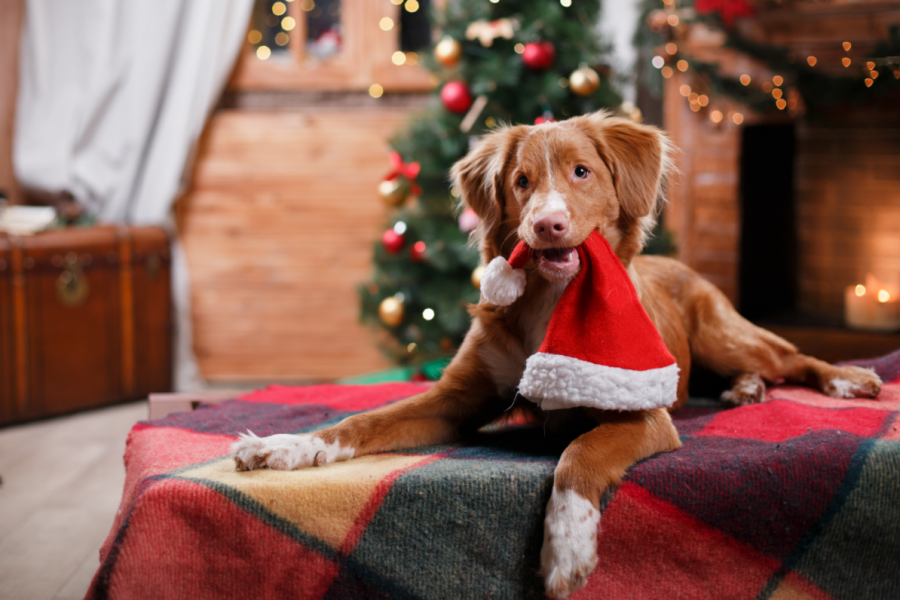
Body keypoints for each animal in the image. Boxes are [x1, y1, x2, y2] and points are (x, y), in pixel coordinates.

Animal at [229, 110, 884, 596]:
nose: (547, 225)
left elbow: (577, 455)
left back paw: (843, 379)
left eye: (581, 172)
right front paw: (285, 447)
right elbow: (361, 421)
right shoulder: (453, 400)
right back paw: (744, 388)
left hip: (723, 333)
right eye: (521, 182)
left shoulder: (643, 414)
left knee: (791, 358)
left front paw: (567, 546)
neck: (550, 302)